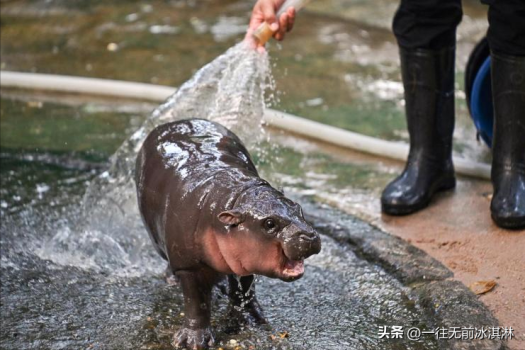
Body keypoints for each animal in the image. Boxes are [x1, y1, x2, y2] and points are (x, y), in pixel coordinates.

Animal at [135, 119, 322, 348]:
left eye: (298, 208)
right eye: (269, 223)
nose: (309, 236)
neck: (233, 198)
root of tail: (176, 122)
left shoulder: (243, 259)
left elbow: (244, 289)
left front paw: (251, 320)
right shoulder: (189, 266)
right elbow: (196, 303)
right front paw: (194, 342)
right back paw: (172, 280)